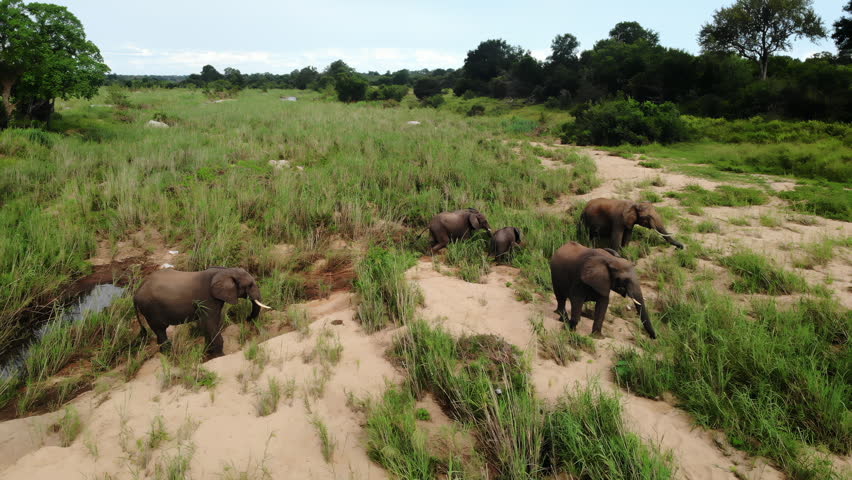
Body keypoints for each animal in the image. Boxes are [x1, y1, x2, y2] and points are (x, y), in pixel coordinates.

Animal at [133, 267, 271, 356]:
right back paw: (169, 355)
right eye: (250, 285)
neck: (224, 271)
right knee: (160, 330)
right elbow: (211, 323)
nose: (248, 318)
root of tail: (136, 292)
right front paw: (220, 355)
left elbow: (209, 324)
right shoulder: (207, 298)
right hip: (150, 309)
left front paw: (208, 352)